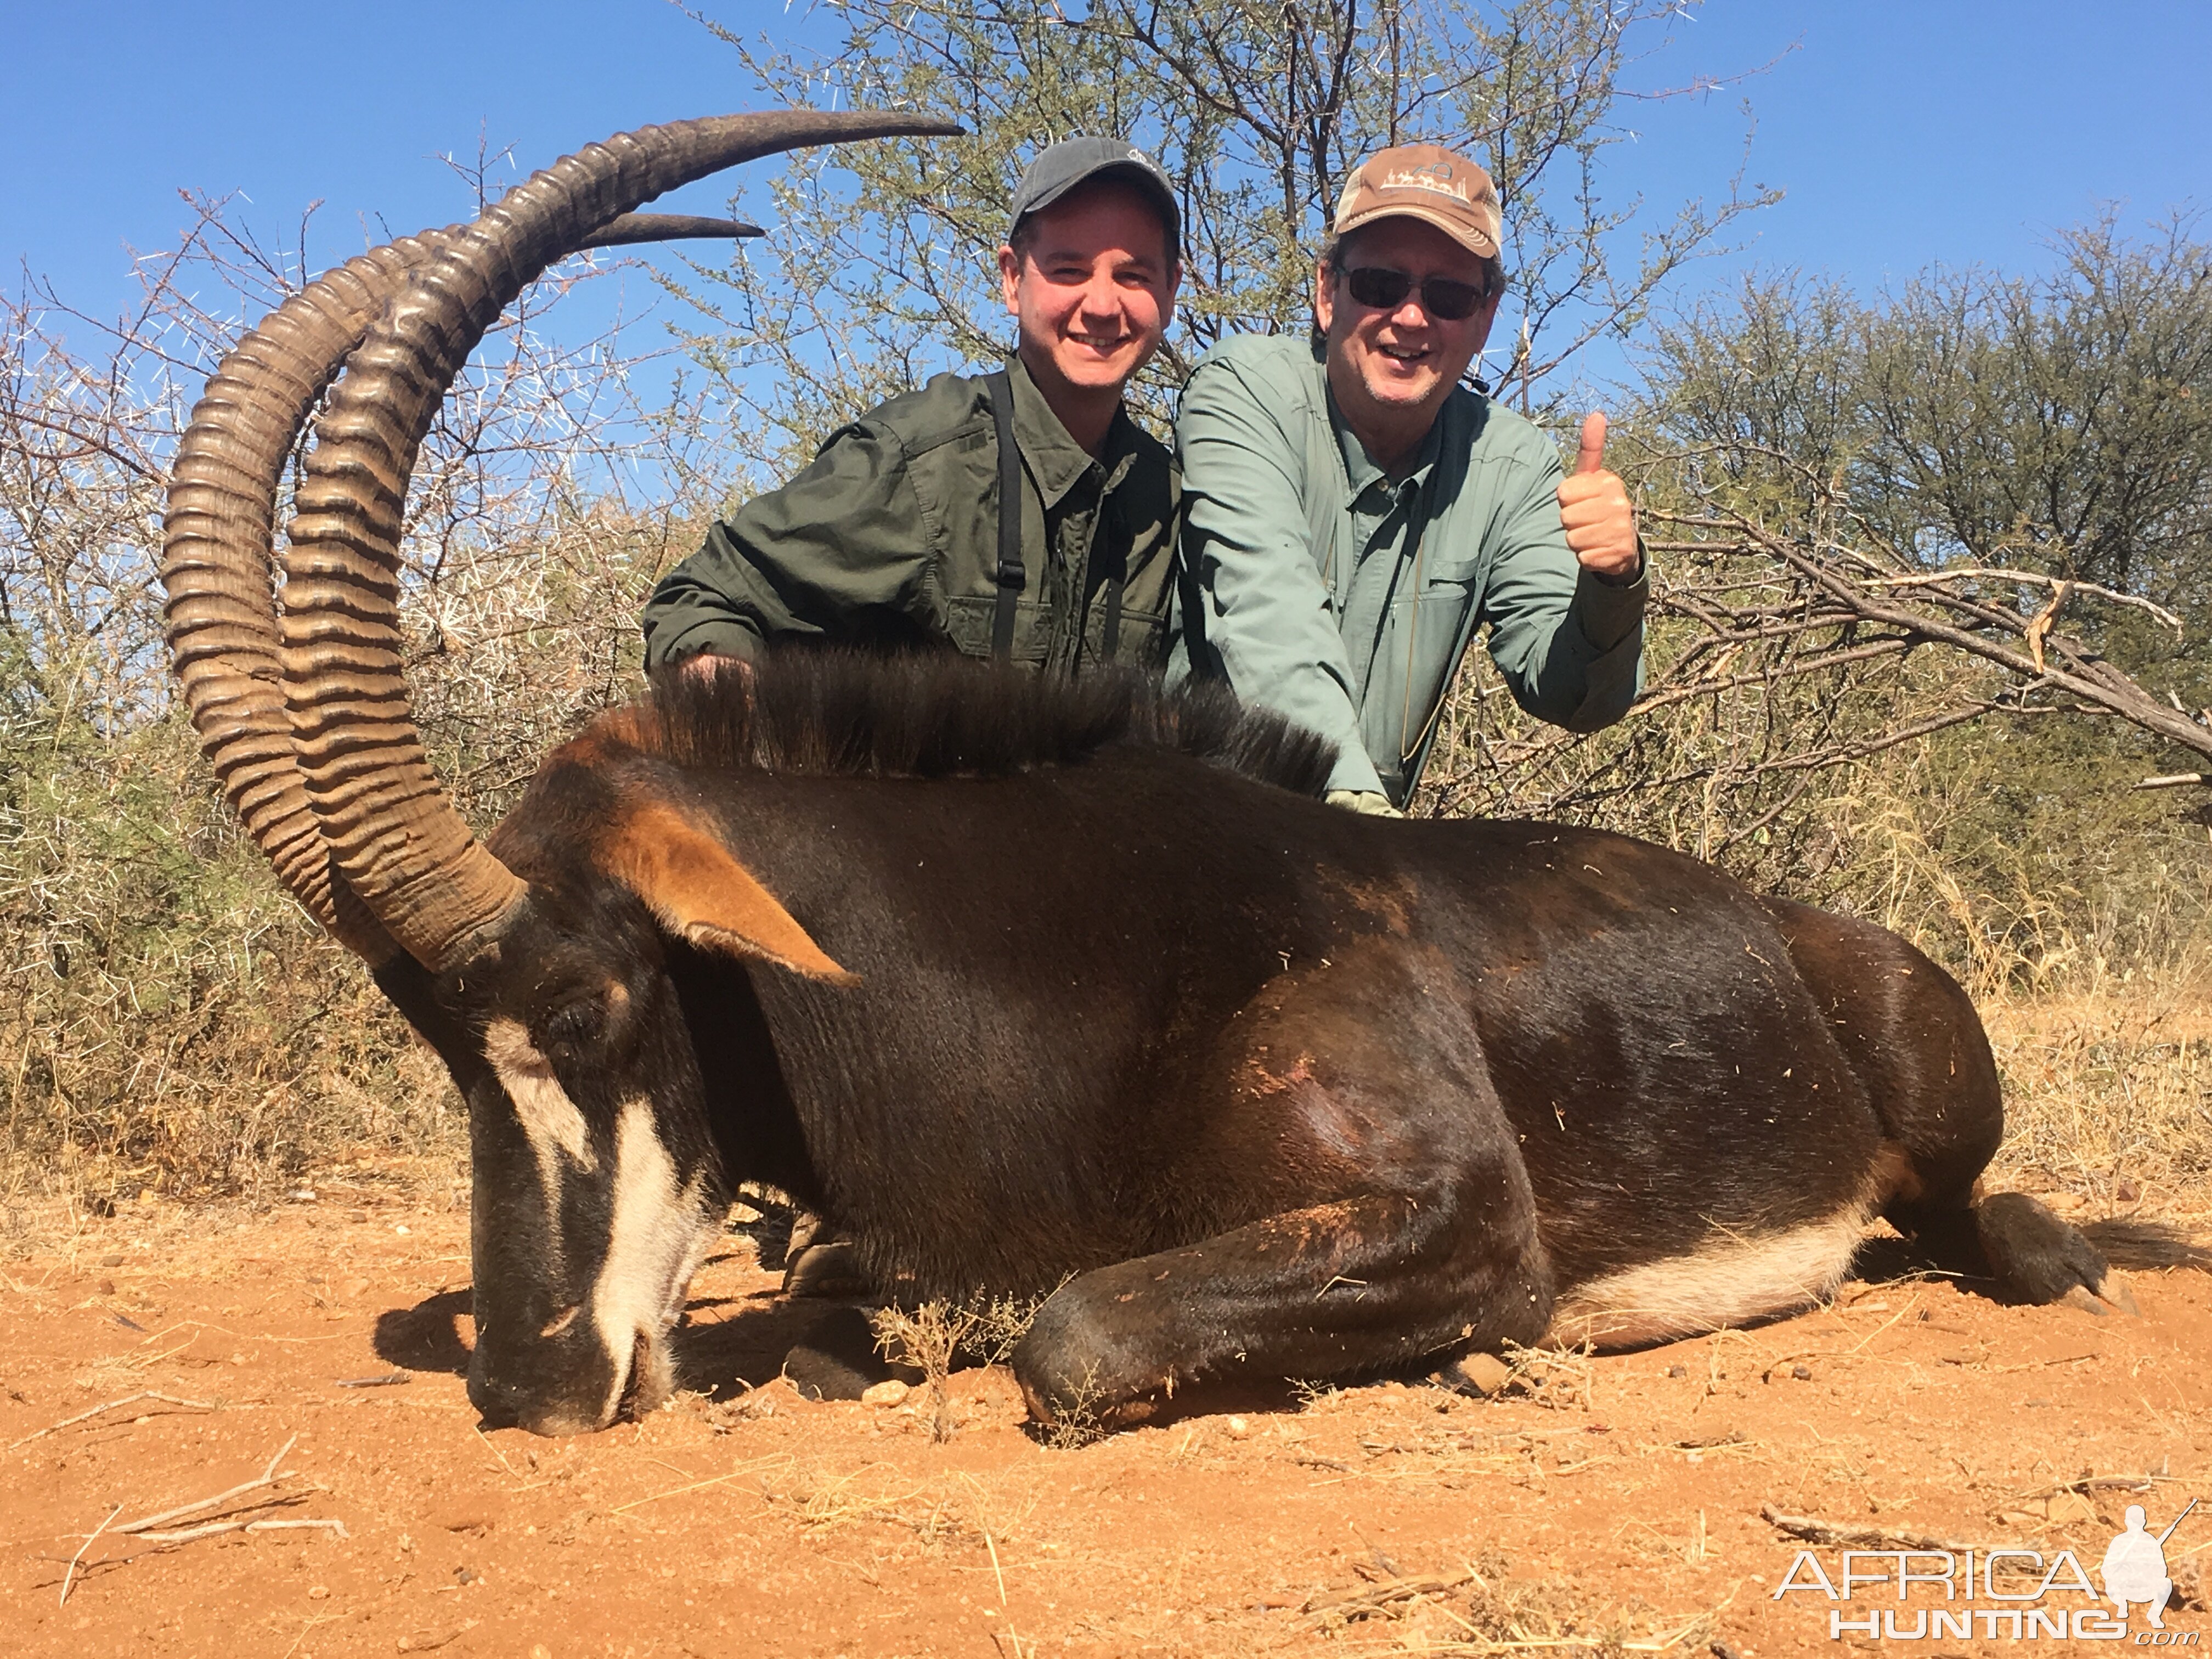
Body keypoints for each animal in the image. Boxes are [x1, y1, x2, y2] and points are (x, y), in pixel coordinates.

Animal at [160, 117, 2123, 1442]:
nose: (528, 1386)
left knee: (1983, 1223)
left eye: (580, 1010)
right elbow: (842, 1304)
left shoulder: (1456, 1218)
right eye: (434, 1046)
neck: (1038, 967)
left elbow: (1072, 1337)